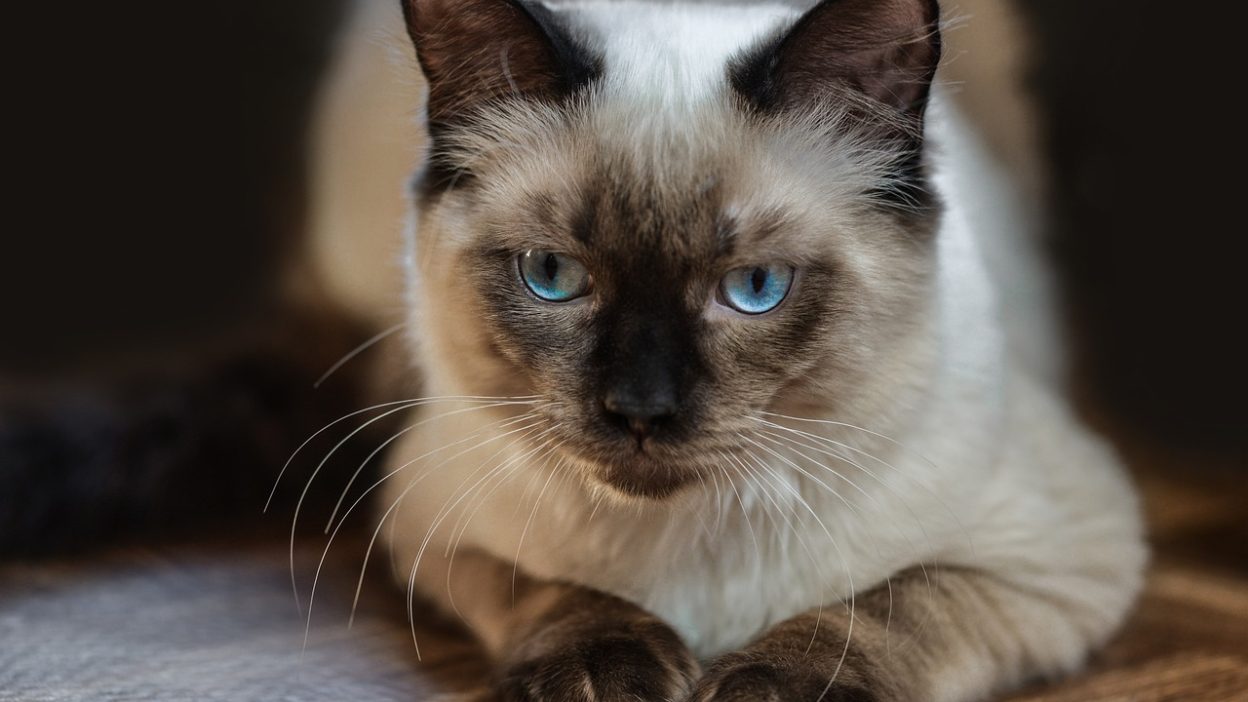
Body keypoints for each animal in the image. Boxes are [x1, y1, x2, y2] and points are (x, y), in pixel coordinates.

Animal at [319, 0, 1143, 694]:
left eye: (754, 287)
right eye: (552, 276)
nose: (640, 410)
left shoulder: (1056, 563)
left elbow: (892, 601)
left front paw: (773, 684)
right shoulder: (432, 531)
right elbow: (547, 588)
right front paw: (605, 669)